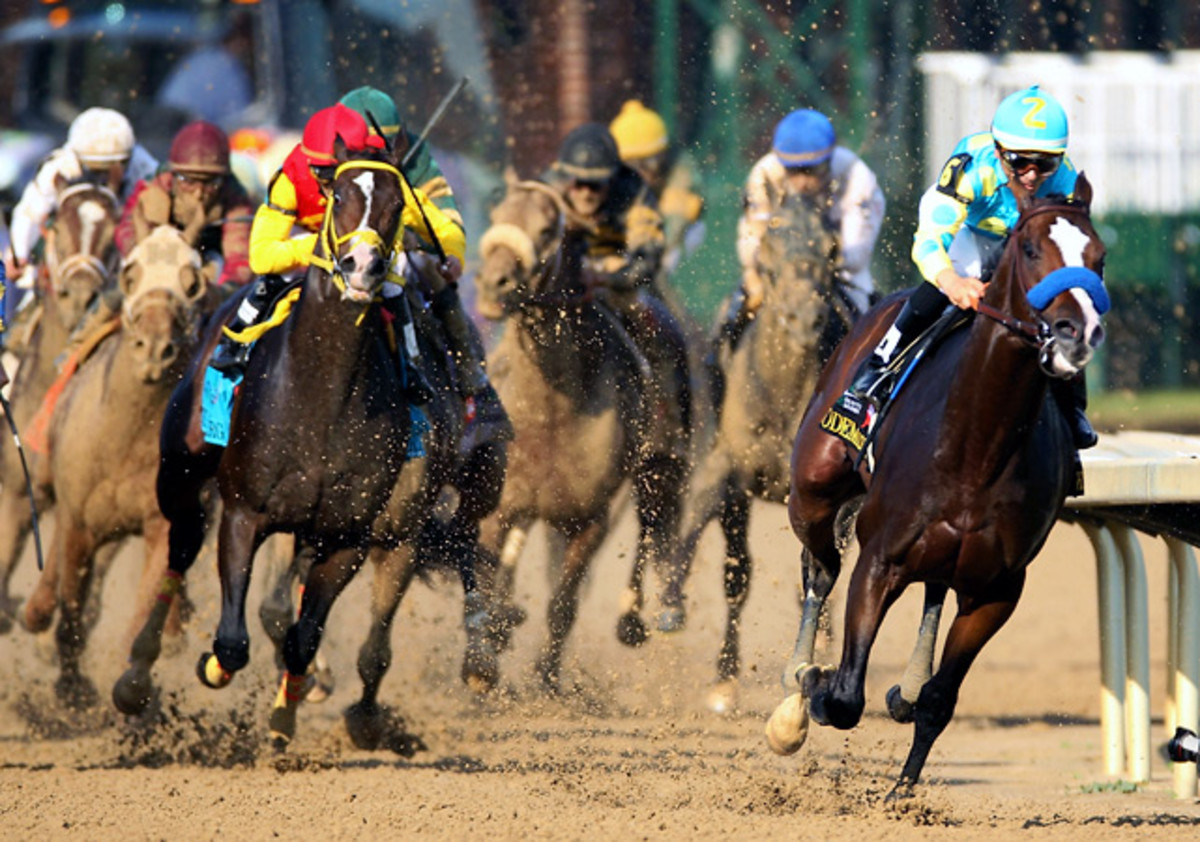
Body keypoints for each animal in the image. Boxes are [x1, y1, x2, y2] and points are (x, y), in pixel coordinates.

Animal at [768, 175, 1104, 796]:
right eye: (1029, 249)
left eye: (1098, 257)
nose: (1078, 335)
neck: (977, 445)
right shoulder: (879, 560)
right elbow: (845, 695)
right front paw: (814, 690)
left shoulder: (999, 590)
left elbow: (938, 702)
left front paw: (902, 793)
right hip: (813, 488)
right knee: (820, 566)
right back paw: (795, 685)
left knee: (933, 591)